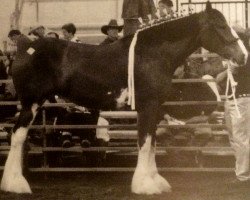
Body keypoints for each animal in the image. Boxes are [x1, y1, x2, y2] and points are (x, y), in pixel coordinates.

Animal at [0, 1, 248, 195]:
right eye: (220, 26)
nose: (243, 56)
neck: (151, 53)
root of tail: (24, 48)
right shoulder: (147, 107)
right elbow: (144, 143)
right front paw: (144, 185)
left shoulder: (156, 109)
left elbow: (151, 142)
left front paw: (155, 181)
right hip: (31, 102)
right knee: (18, 136)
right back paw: (16, 184)